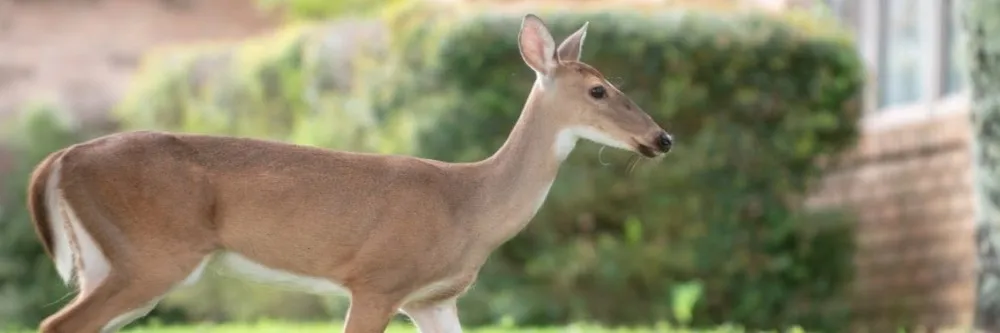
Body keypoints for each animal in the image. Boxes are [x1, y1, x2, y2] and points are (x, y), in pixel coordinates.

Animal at [27, 13, 676, 332]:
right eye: (599, 89)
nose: (662, 138)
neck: (471, 204)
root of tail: (60, 158)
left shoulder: (434, 299)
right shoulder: (376, 279)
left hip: (108, 261)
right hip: (152, 254)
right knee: (59, 325)